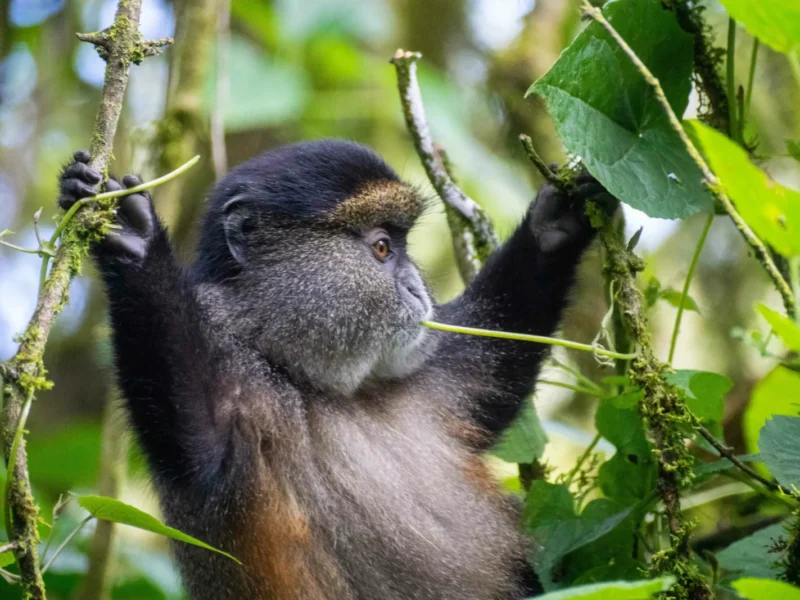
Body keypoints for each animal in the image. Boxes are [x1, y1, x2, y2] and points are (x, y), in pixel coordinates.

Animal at [58, 140, 616, 600]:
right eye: (382, 248)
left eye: (401, 244)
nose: (417, 288)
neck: (299, 371)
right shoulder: (230, 373)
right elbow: (195, 441)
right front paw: (132, 238)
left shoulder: (428, 380)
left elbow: (491, 379)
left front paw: (557, 220)